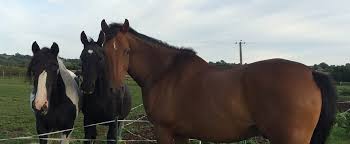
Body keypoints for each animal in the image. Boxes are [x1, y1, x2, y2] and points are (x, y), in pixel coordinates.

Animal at [100, 19, 336, 144]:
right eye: (103, 52)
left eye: (127, 51)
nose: (115, 91)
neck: (164, 73)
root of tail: (311, 73)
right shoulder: (180, 134)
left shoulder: (164, 131)